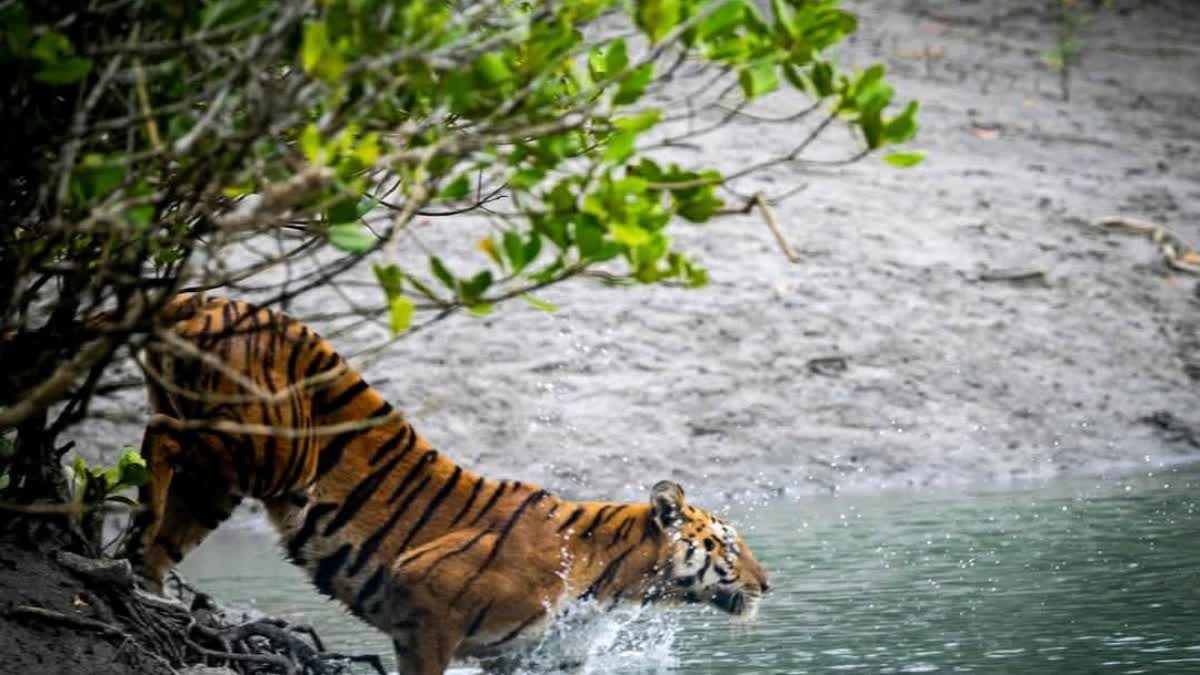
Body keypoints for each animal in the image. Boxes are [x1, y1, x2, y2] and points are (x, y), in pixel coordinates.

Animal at [122, 294, 770, 675]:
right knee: (160, 439)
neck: (609, 576)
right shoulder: (427, 608)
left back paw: (146, 581)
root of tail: (205, 294)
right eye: (729, 544)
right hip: (266, 449)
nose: (767, 584)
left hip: (217, 484)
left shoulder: (524, 655)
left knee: (163, 518)